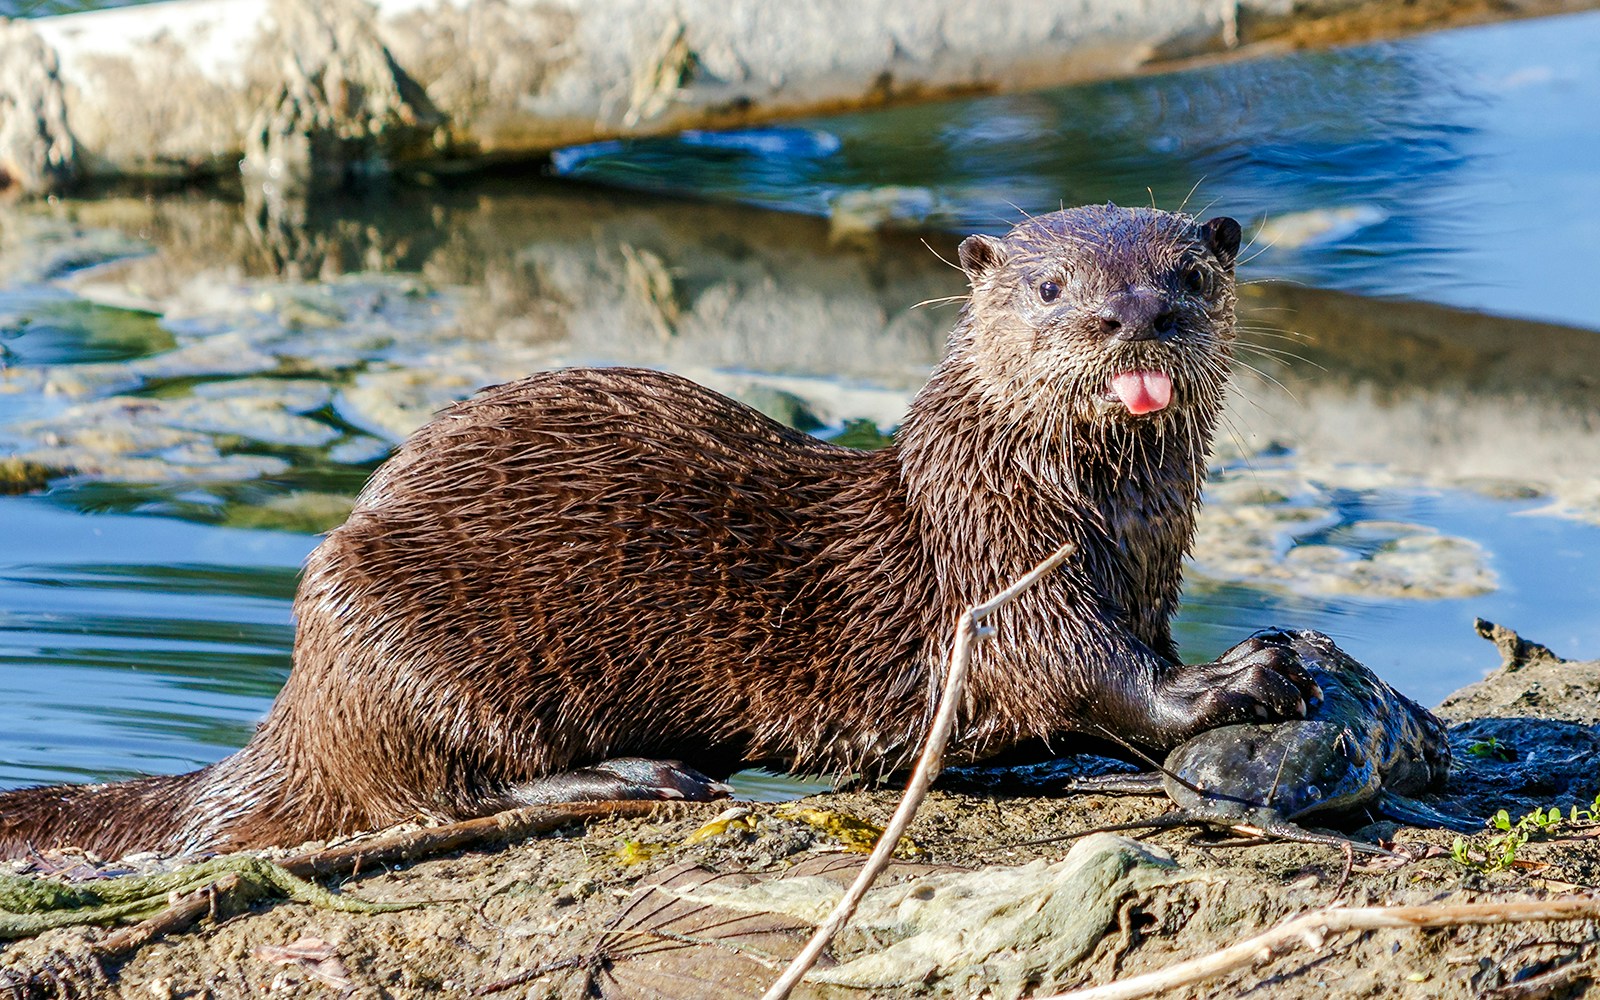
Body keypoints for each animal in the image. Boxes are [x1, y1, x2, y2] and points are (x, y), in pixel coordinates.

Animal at [0, 204, 1314, 859]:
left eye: (1188, 273)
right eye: (1048, 288)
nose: (1127, 316)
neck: (1098, 524)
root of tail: (302, 698)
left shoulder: (1139, 576)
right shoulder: (1004, 571)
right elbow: (1093, 675)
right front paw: (1240, 678)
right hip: (402, 629)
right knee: (437, 793)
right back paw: (645, 772)